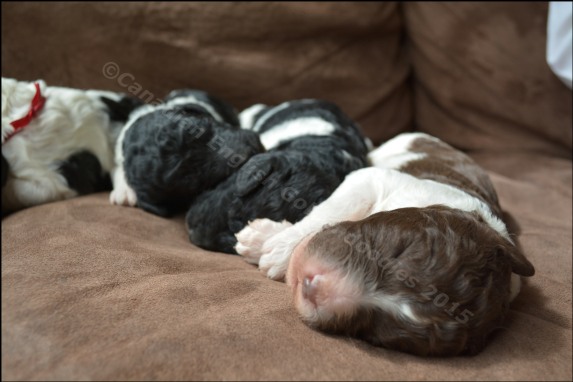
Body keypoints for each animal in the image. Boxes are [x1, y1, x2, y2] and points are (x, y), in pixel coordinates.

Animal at [233, 133, 536, 356]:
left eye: (379, 330)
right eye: (401, 248)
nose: (311, 285)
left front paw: (268, 242)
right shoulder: (374, 179)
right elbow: (332, 208)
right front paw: (274, 246)